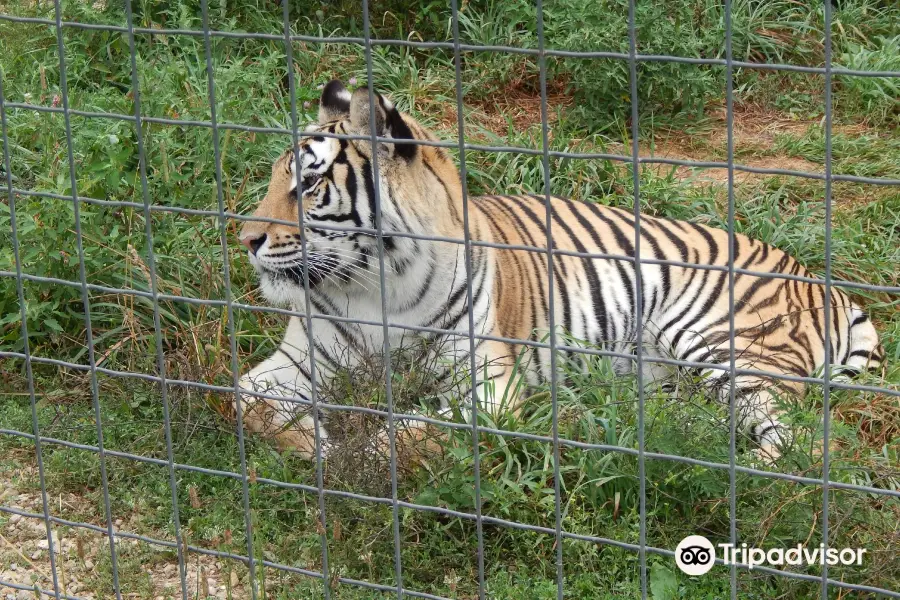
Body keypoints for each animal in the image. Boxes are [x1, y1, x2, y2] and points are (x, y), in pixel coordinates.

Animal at [236, 79, 884, 464]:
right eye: (273, 176)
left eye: (310, 184)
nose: (245, 239)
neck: (375, 287)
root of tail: (820, 281)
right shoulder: (299, 360)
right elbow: (245, 400)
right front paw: (314, 440)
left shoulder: (487, 388)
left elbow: (400, 436)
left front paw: (347, 455)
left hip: (725, 345)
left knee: (795, 446)